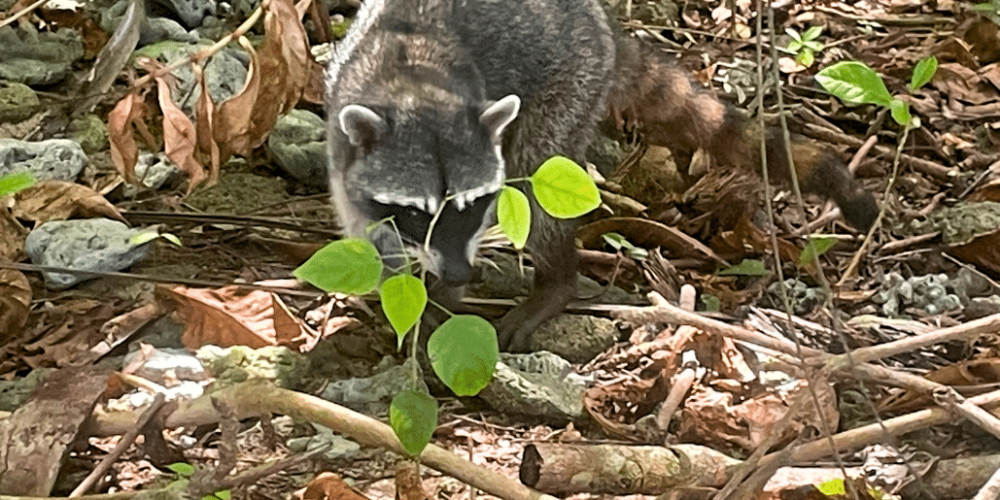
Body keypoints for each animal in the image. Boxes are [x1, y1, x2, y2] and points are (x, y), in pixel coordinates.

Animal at [324, 0, 880, 352]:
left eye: (475, 204)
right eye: (419, 212)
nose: (460, 274)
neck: (413, 85)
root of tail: (600, 22)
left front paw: (443, 299)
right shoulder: (341, 144)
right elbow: (367, 232)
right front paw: (404, 289)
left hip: (574, 81)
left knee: (535, 170)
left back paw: (556, 282)